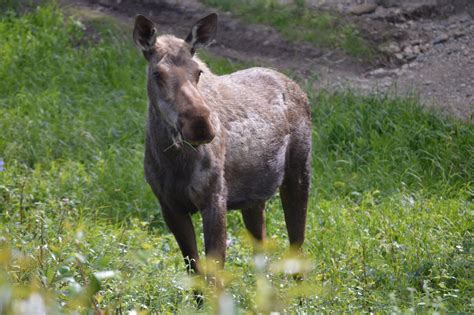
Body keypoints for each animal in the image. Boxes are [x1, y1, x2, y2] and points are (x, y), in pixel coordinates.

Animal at [132, 13, 312, 276]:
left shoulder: (214, 199)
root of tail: (294, 85)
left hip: (299, 174)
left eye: (198, 71)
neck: (173, 161)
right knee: (262, 251)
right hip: (254, 199)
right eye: (157, 74)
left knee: (297, 247)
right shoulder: (170, 206)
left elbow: (215, 276)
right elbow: (195, 272)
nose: (200, 124)